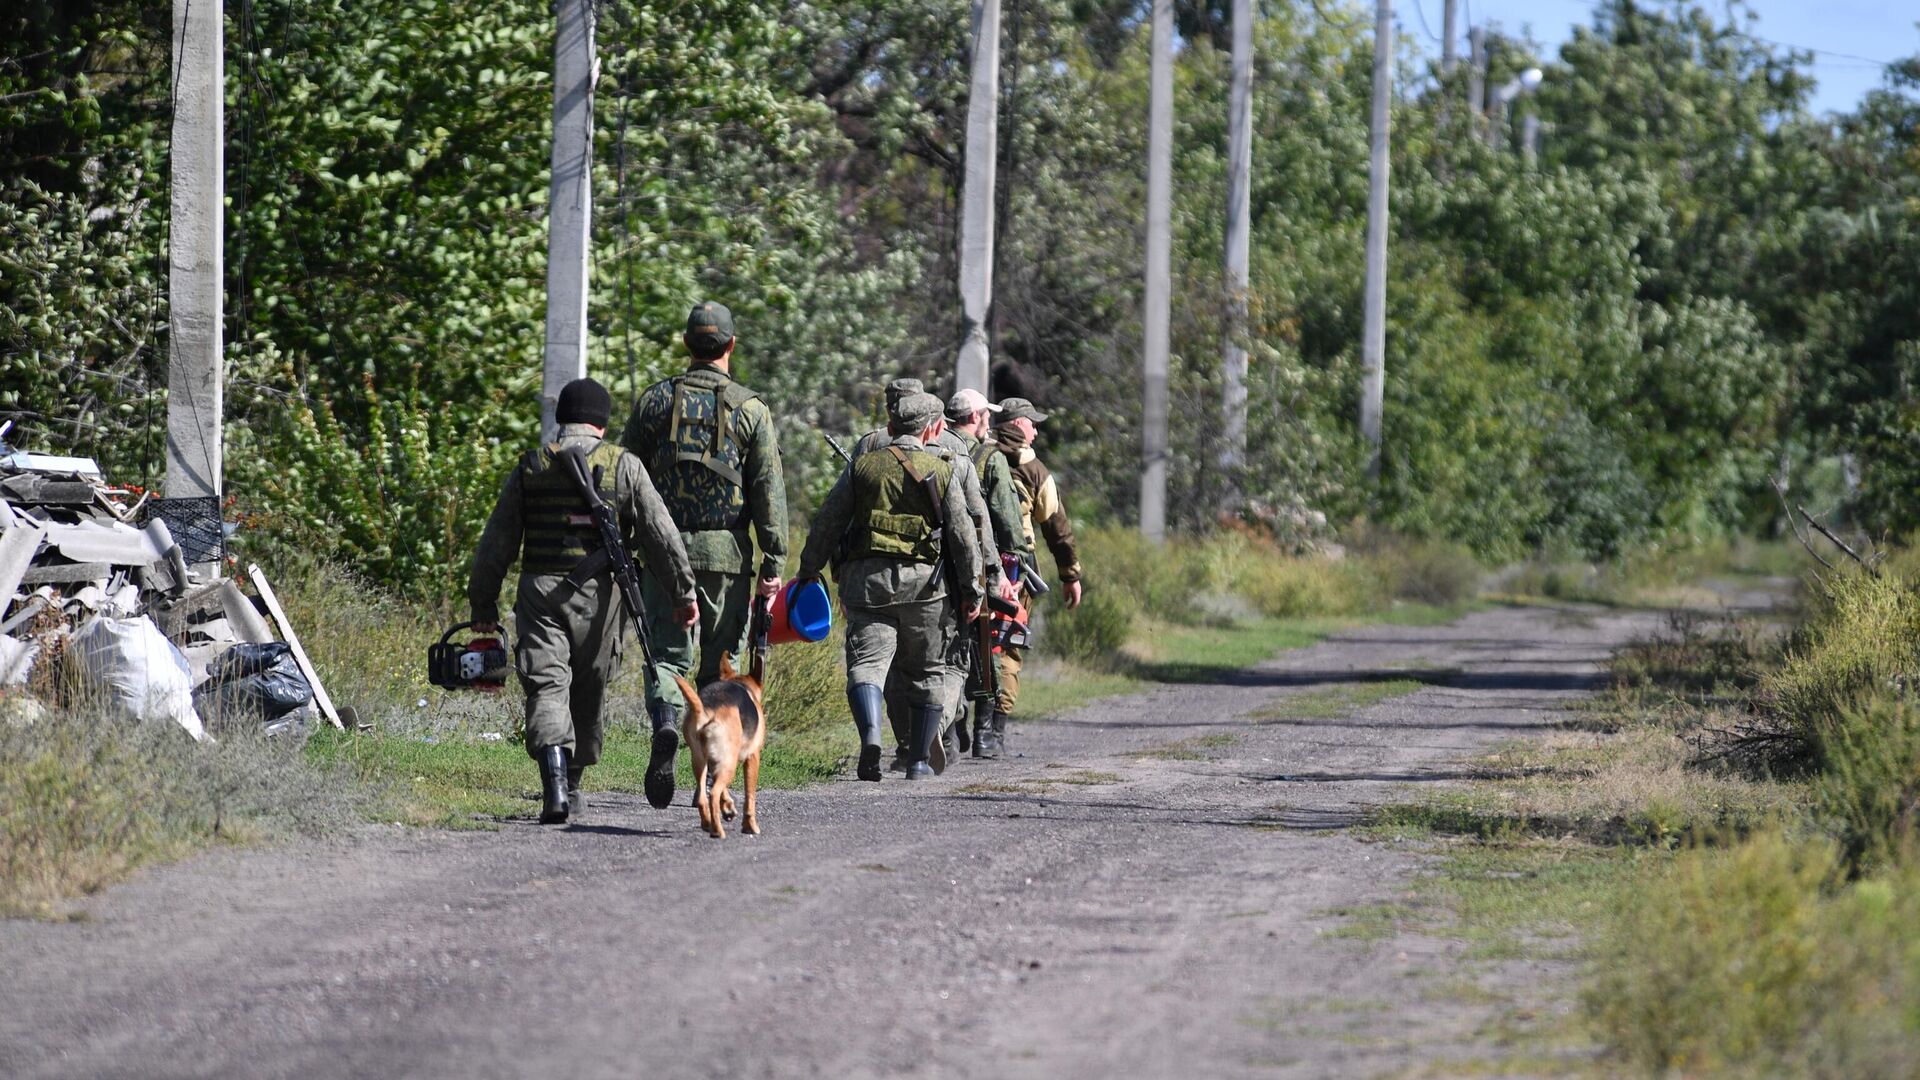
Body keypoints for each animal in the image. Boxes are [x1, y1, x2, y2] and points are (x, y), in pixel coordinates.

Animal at [675, 653, 764, 837]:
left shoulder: (715, 761)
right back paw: (717, 831)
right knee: (713, 794)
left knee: (703, 797)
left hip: (700, 761)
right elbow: (750, 797)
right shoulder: (752, 757)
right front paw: (750, 826)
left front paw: (728, 807)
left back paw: (707, 823)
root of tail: (705, 711)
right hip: (729, 764)